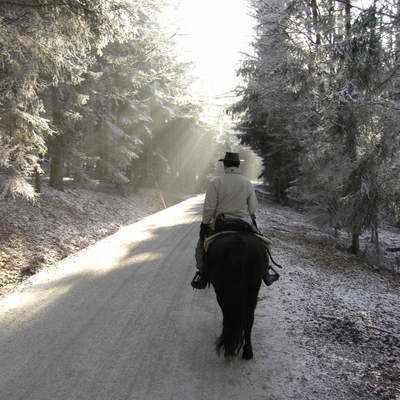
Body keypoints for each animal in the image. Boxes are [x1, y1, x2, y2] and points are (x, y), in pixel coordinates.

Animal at [205, 231, 268, 360]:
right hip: (254, 288)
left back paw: (229, 350)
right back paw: (247, 352)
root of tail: (238, 244)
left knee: (229, 315)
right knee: (248, 318)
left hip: (222, 291)